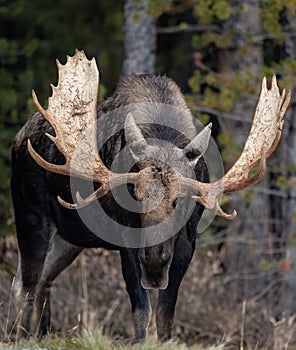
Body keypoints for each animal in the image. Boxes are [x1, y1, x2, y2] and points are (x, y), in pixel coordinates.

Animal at [11, 50, 290, 342]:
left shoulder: (187, 242)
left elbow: (166, 314)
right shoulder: (125, 238)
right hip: (31, 214)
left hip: (70, 237)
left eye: (179, 201)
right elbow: (141, 310)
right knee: (26, 283)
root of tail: (19, 138)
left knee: (43, 280)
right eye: (135, 196)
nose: (155, 262)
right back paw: (21, 337)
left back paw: (42, 335)